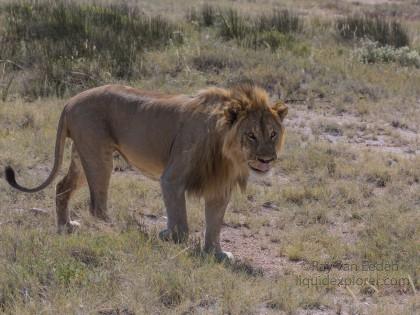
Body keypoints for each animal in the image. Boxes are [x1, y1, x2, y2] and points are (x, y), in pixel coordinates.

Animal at [4, 84, 288, 262]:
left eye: (273, 134)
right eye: (251, 135)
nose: (267, 159)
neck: (227, 154)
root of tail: (70, 101)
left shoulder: (219, 187)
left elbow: (215, 224)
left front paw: (215, 253)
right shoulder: (172, 179)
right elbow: (181, 224)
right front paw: (168, 237)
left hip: (81, 156)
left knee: (62, 186)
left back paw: (66, 225)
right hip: (99, 157)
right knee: (97, 207)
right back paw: (127, 229)